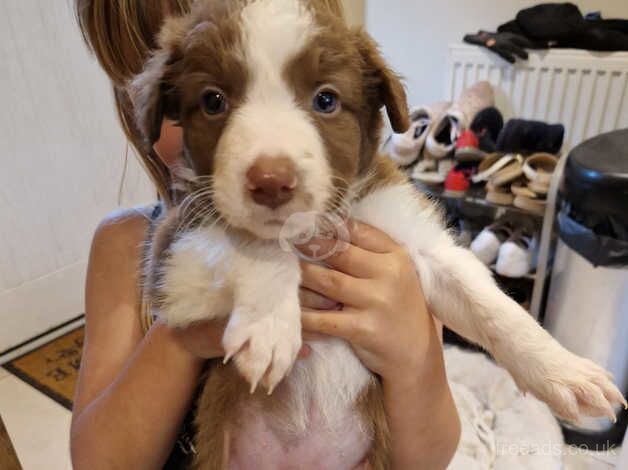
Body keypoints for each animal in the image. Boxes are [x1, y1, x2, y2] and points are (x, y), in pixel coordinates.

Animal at [130, 1, 624, 468]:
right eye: (213, 101)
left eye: (326, 100)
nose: (271, 182)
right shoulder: (170, 258)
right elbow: (254, 242)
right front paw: (269, 327)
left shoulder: (421, 243)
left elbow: (491, 306)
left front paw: (565, 371)